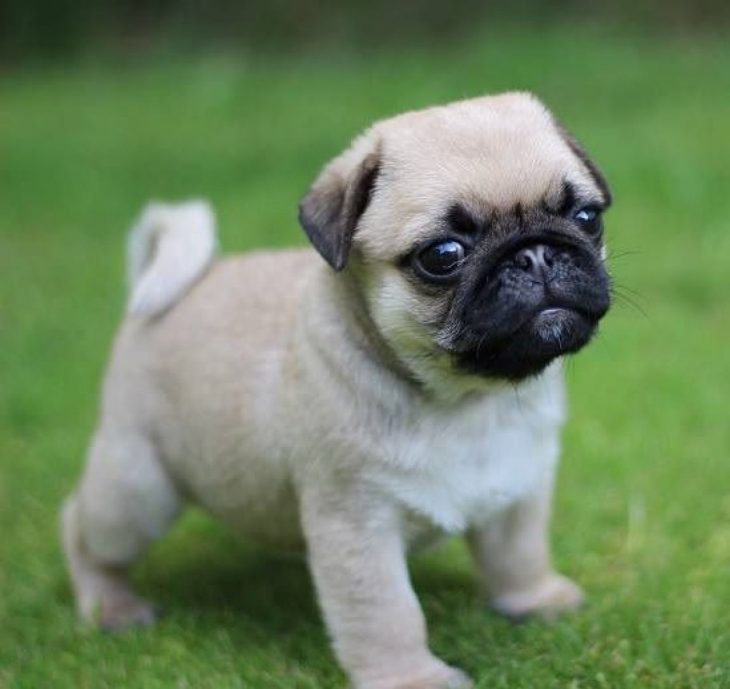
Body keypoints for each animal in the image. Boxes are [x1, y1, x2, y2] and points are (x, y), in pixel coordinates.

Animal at [62, 92, 608, 688]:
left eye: (587, 218)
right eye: (443, 256)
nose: (534, 254)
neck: (466, 399)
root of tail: (170, 283)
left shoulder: (520, 488)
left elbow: (519, 554)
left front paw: (536, 601)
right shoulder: (357, 527)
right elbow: (387, 614)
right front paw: (412, 678)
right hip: (139, 490)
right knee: (81, 528)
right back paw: (110, 607)